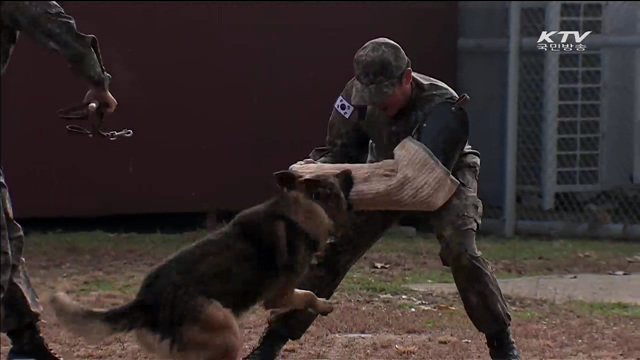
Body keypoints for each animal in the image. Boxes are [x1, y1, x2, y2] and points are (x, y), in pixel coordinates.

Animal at [47, 169, 352, 360]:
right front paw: (321, 304)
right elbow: (306, 294)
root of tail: (146, 302)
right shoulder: (279, 294)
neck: (307, 204)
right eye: (335, 182)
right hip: (226, 330)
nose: (350, 171)